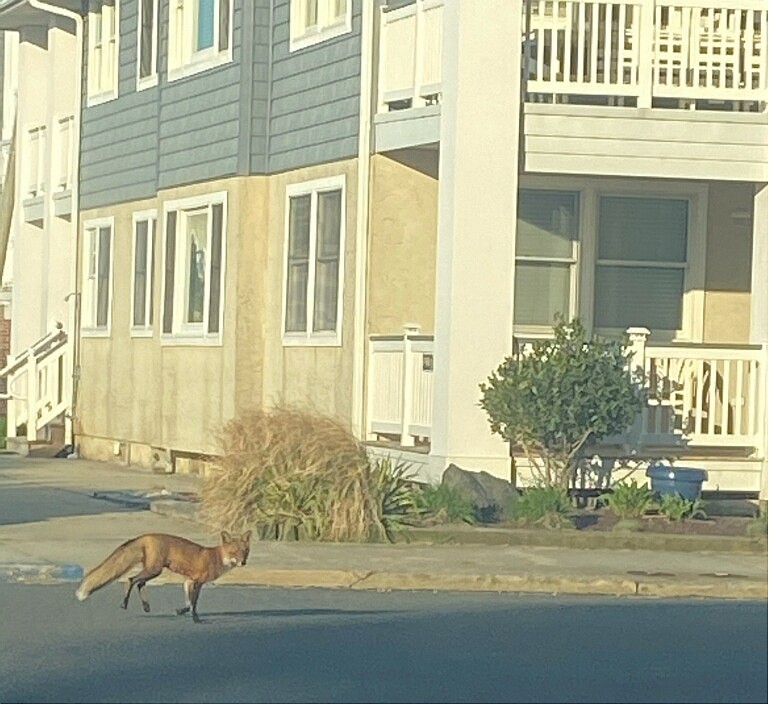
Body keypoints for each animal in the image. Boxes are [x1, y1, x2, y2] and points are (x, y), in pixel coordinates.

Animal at [76, 532, 252, 624]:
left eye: (245, 551)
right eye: (234, 552)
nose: (243, 562)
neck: (216, 558)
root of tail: (146, 536)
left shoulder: (188, 581)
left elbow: (188, 603)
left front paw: (181, 611)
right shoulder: (197, 582)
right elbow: (194, 603)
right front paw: (196, 619)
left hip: (153, 570)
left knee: (139, 583)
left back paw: (146, 606)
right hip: (154, 570)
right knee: (131, 580)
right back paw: (125, 603)